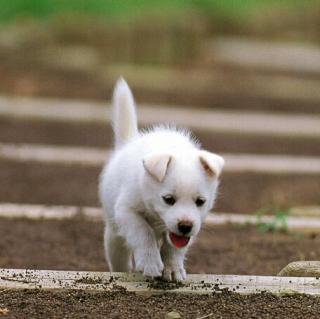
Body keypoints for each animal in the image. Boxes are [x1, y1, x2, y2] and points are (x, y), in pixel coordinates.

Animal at [99, 79, 224, 282]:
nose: (185, 226)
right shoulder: (127, 211)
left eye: (200, 201)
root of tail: (127, 144)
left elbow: (174, 248)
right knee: (120, 257)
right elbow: (143, 233)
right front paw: (150, 262)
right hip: (114, 235)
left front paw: (172, 268)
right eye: (168, 199)